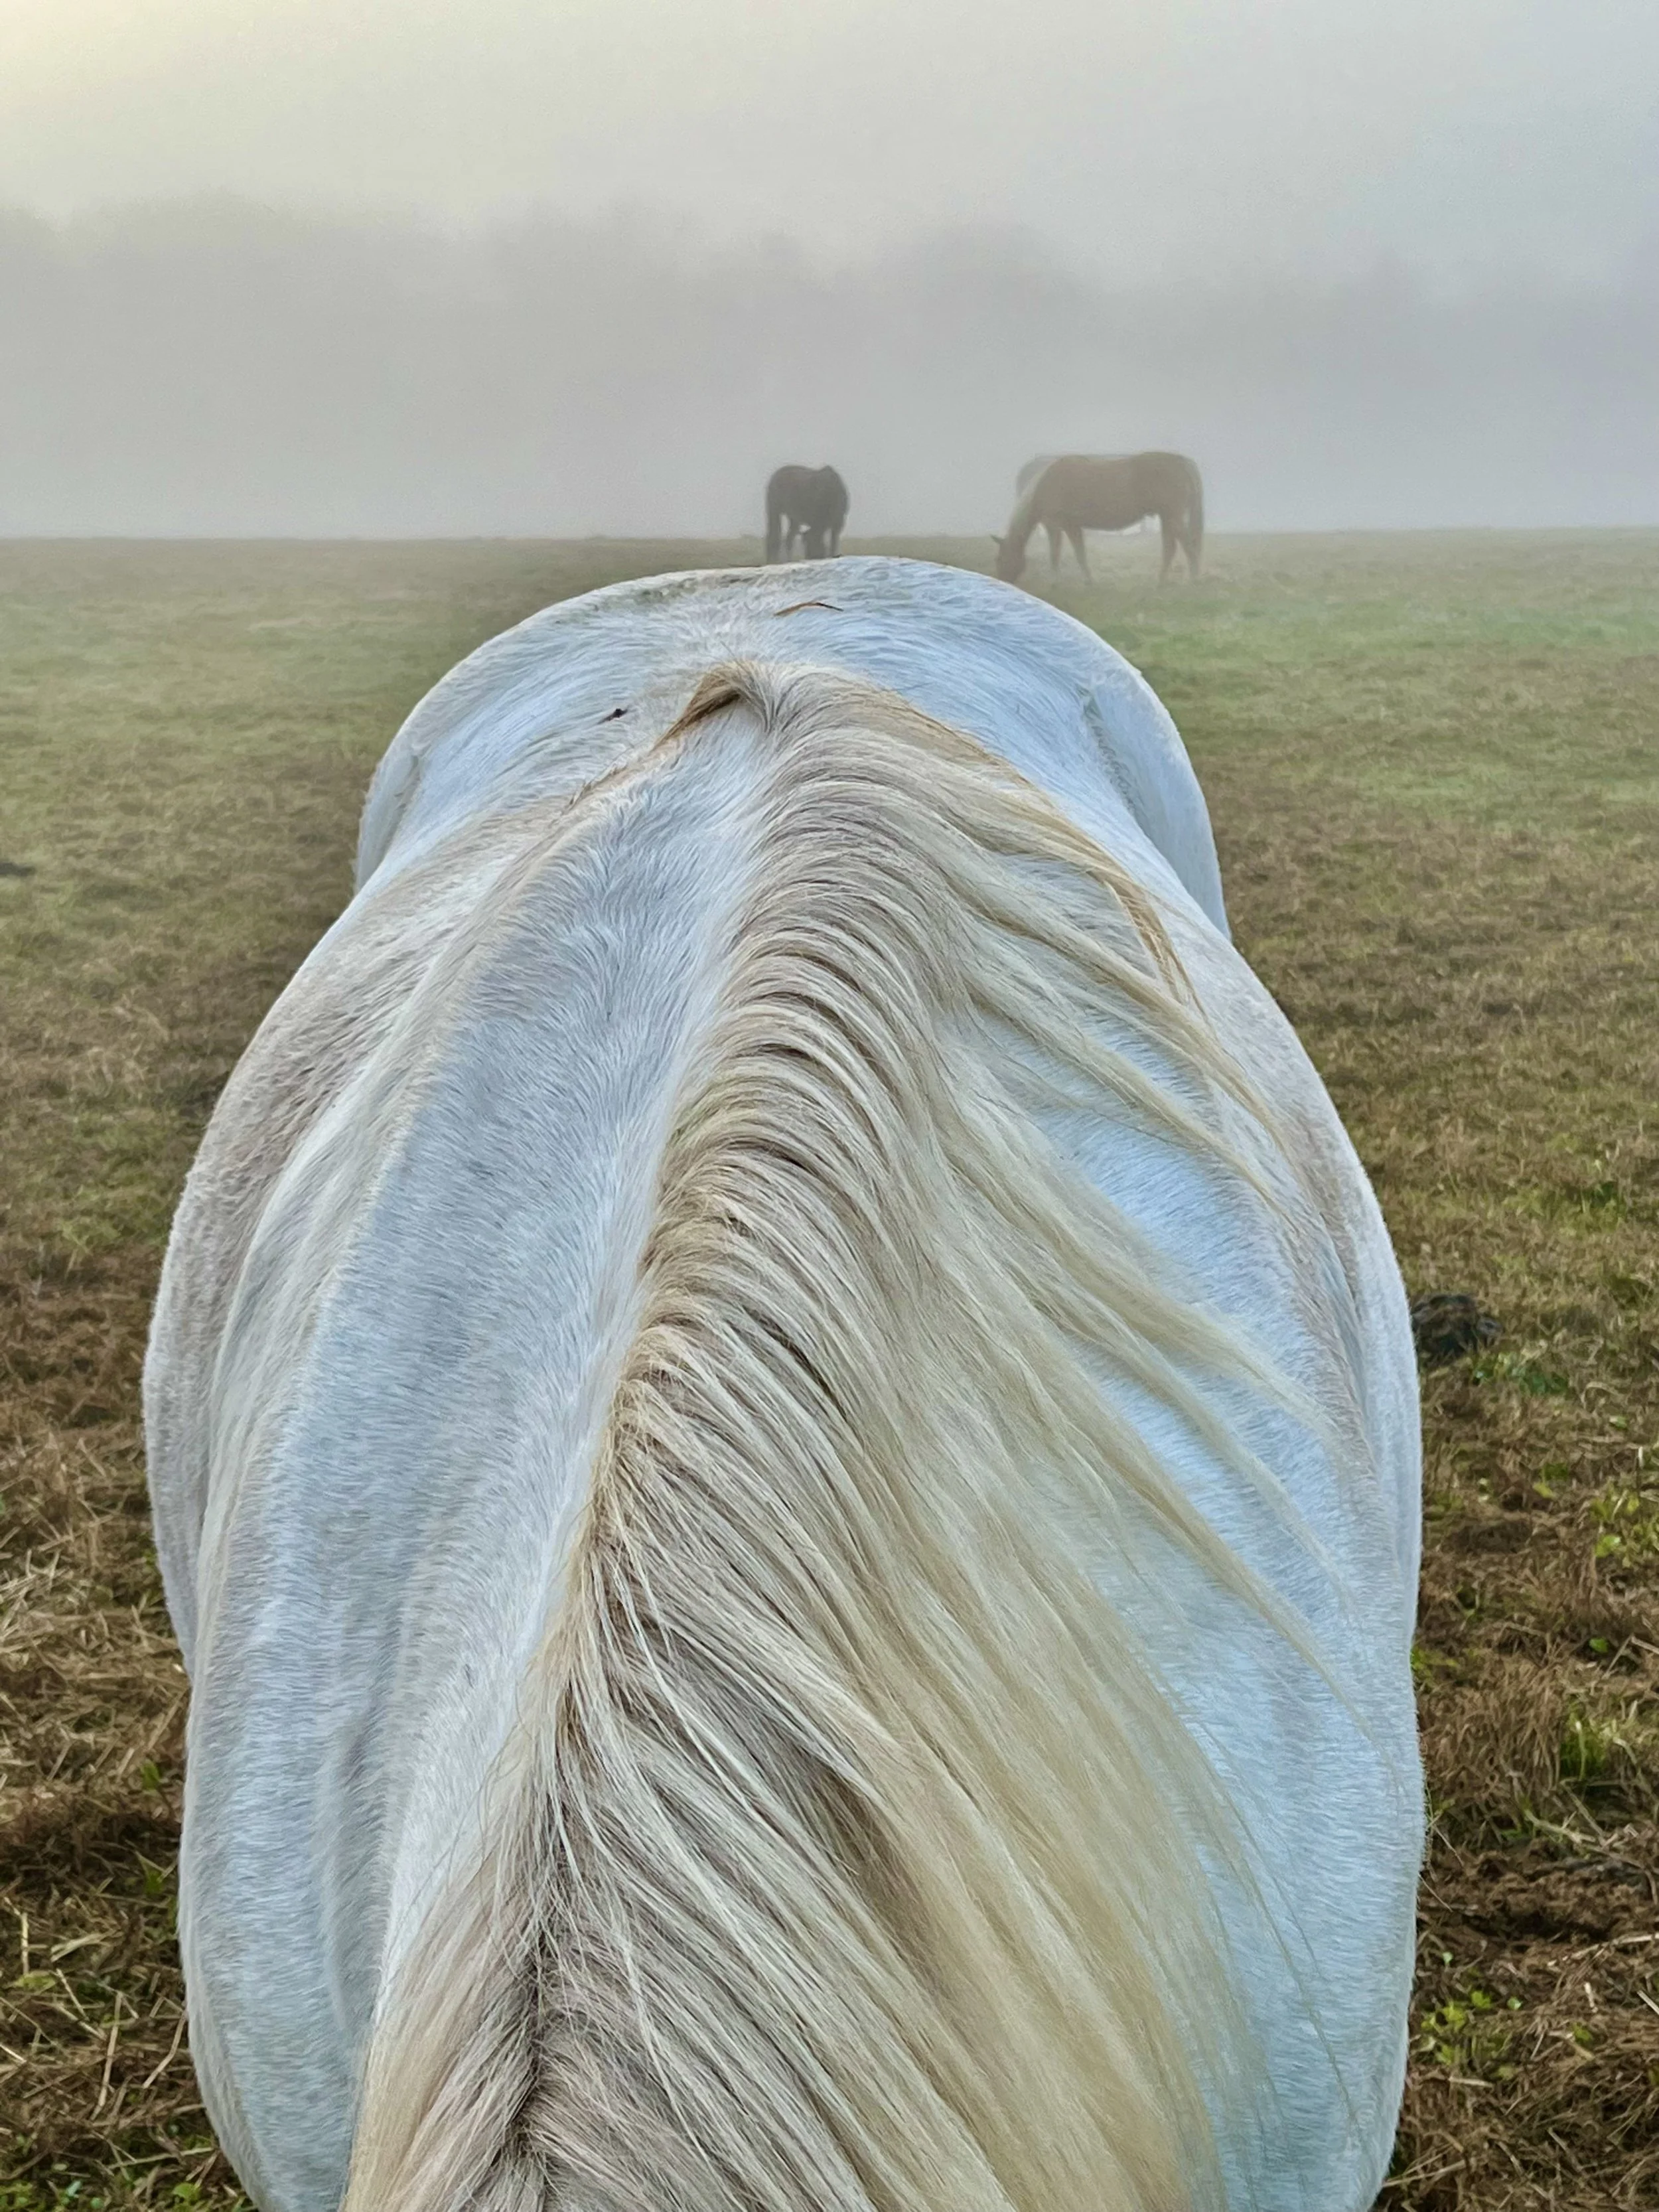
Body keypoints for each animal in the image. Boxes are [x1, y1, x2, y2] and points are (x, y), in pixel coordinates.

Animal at [765, 464, 849, 561]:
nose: (808, 558)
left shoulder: (838, 524)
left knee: (789, 539)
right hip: (774, 510)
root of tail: (776, 475)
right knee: (773, 538)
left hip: (794, 519)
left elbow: (833, 543)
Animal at [996, 453, 1204, 585]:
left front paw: (1055, 582)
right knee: (1170, 549)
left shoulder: (1054, 526)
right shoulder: (1072, 526)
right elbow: (1080, 553)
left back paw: (1192, 579)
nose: (1001, 582)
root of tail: (1183, 462)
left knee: (1187, 547)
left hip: (1173, 517)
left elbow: (1055, 554)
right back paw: (1161, 582)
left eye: (1000, 558)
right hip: (1167, 518)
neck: (1045, 485)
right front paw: (1089, 581)